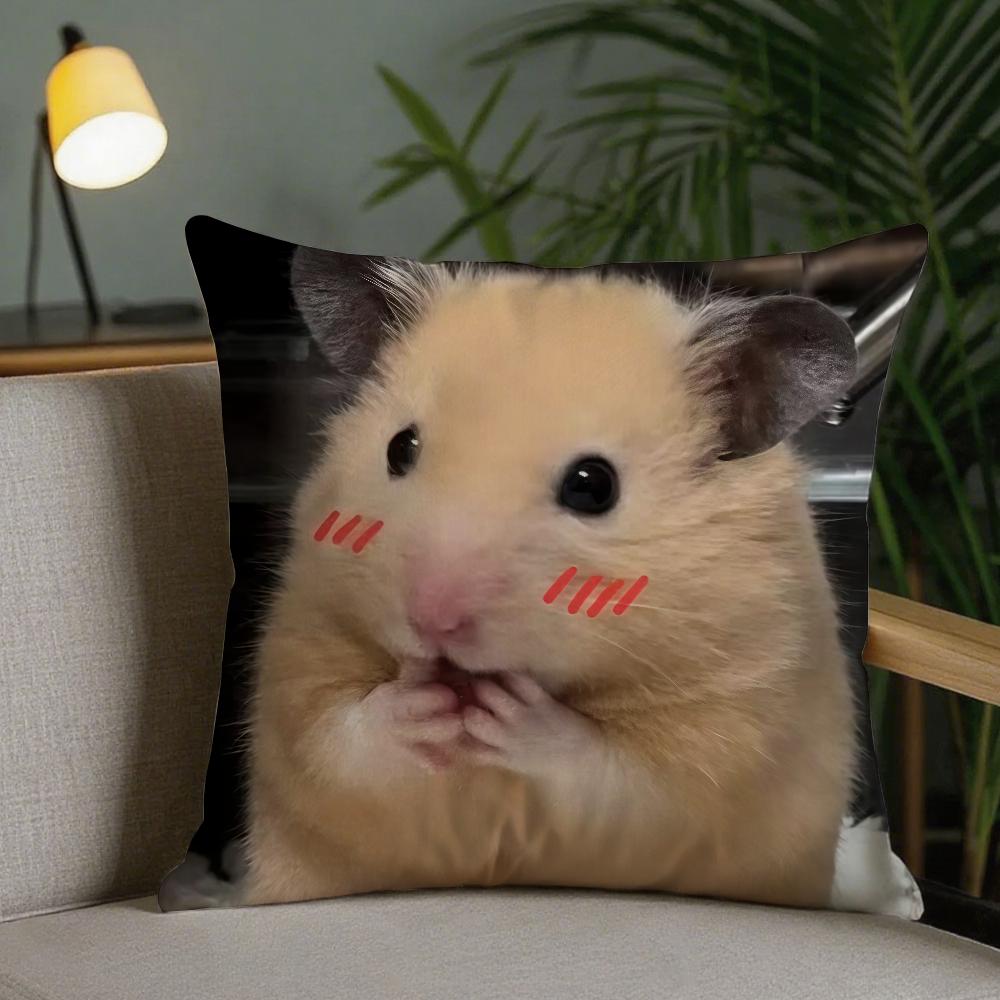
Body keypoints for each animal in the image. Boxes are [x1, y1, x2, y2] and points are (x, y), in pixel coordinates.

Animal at [243, 254, 859, 910]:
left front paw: (509, 713)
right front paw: (421, 703)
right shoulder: (300, 658)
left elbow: (614, 778)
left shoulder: (725, 738)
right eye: (400, 448)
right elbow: (333, 736)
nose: (431, 620)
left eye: (594, 486)